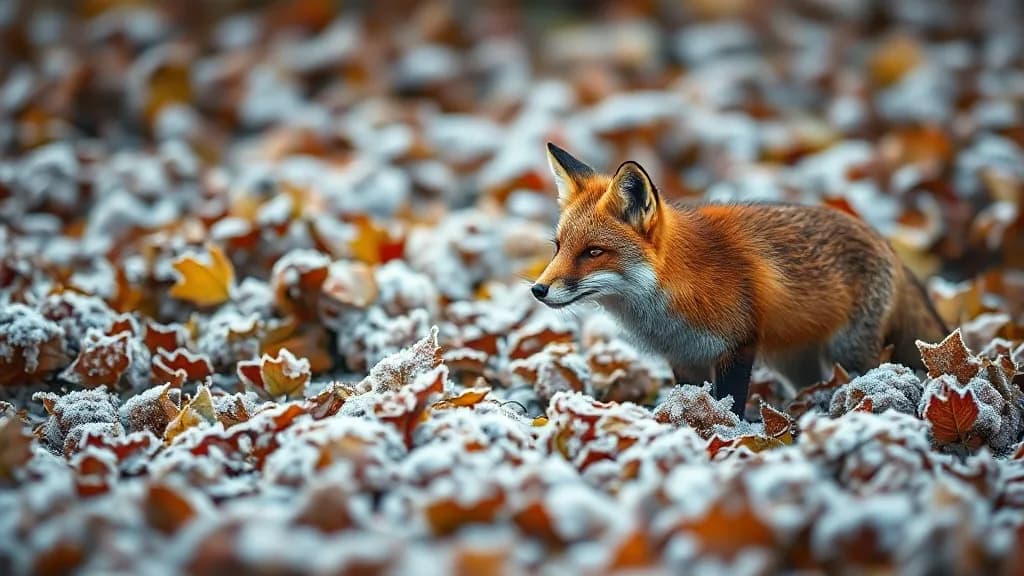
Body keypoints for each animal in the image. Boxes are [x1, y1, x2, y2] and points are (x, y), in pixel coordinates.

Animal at [531, 142, 948, 417]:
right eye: (558, 247)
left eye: (593, 252)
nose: (538, 289)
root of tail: (884, 240)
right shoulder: (685, 358)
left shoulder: (738, 345)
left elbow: (728, 400)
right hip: (794, 362)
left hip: (851, 351)